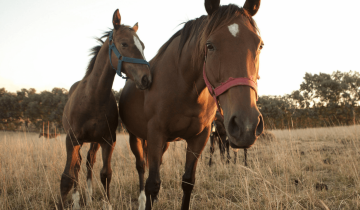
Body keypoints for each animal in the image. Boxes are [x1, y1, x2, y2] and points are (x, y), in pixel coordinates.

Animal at [59, 9, 151, 209]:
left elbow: (106, 174)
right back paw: (78, 199)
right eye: (124, 43)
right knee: (77, 166)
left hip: (94, 141)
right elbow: (68, 176)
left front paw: (106, 204)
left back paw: (89, 196)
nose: (147, 79)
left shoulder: (108, 141)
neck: (93, 98)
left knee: (89, 162)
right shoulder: (71, 140)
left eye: (143, 46)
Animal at [119, 0, 262, 209]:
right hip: (136, 138)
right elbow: (152, 183)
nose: (246, 125)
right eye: (210, 45)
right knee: (141, 168)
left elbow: (187, 181)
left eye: (259, 45)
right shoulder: (155, 134)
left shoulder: (199, 138)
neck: (183, 87)